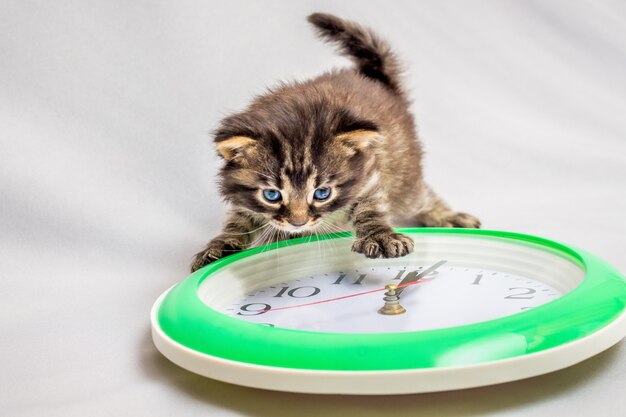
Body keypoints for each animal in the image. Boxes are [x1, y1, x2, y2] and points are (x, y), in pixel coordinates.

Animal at [190, 13, 478, 272]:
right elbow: (238, 220)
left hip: (405, 177)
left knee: (422, 197)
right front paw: (221, 244)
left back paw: (449, 216)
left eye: (322, 193)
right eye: (272, 195)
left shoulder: (370, 173)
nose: (297, 224)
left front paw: (379, 235)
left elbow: (371, 207)